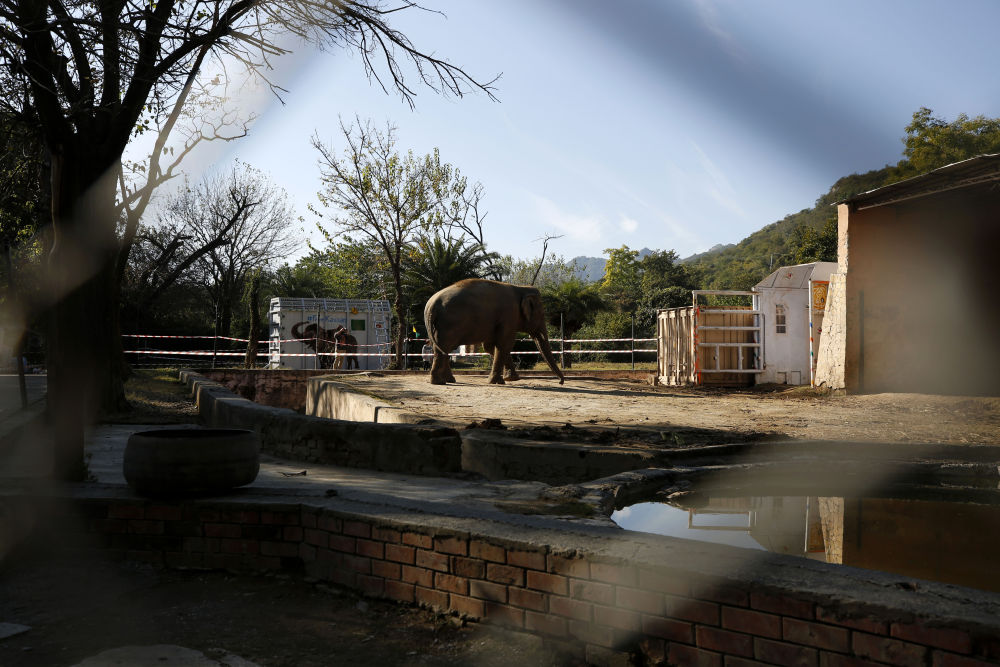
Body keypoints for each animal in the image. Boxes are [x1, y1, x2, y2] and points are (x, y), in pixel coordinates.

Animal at [420, 278, 564, 386]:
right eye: (542, 314)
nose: (561, 382)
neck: (520, 288)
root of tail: (431, 305)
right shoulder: (509, 315)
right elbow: (504, 345)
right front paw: (500, 381)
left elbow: (491, 347)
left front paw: (511, 378)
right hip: (448, 324)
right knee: (444, 348)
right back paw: (439, 382)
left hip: (438, 326)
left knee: (441, 348)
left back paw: (447, 380)